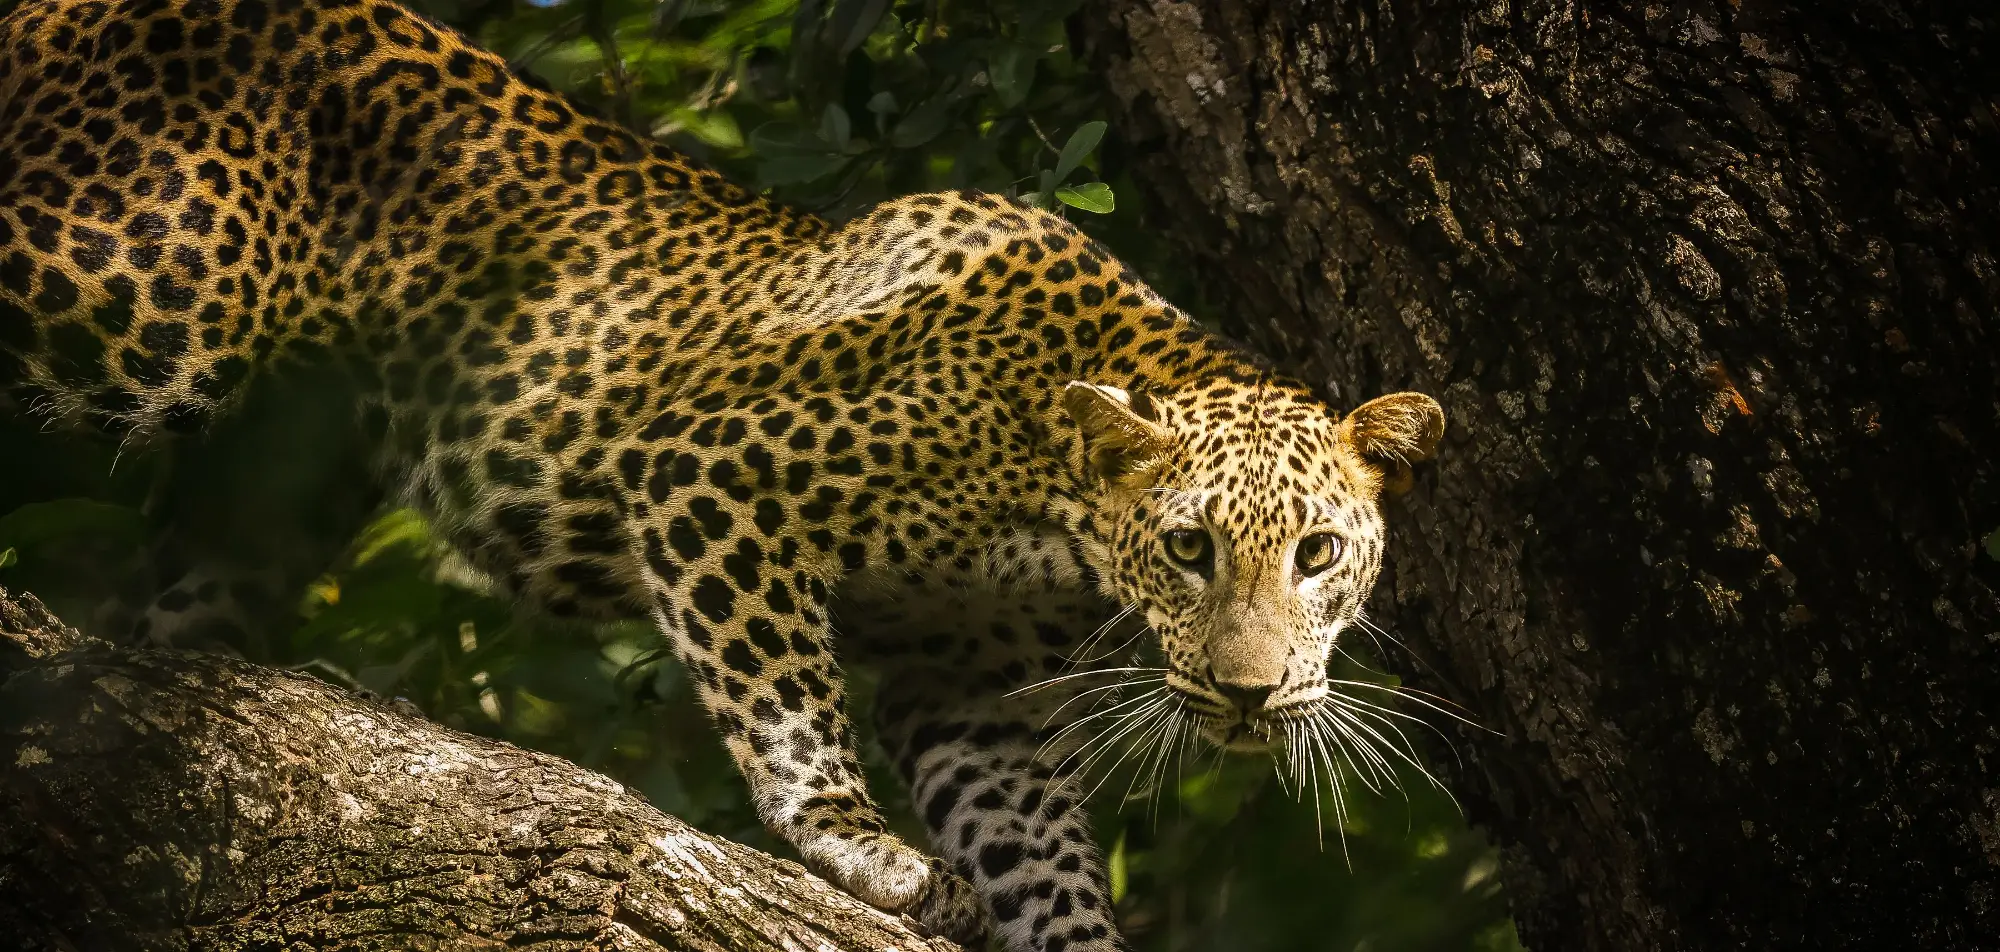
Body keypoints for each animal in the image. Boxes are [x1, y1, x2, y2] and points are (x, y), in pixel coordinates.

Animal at [0, 1, 1447, 949]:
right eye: (1190, 549)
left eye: (1318, 554)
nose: (1251, 697)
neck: (1053, 498)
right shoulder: (716, 479)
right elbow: (790, 709)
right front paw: (861, 850)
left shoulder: (964, 677)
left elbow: (1033, 842)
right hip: (130, 280)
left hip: (269, 484)